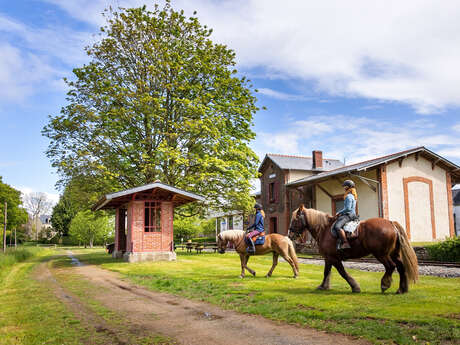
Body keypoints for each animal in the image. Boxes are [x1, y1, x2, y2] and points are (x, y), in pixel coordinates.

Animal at [290, 204, 418, 292]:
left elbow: (342, 273)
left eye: (295, 220)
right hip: (393, 253)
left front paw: (355, 286)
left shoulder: (334, 258)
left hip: (381, 254)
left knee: (391, 266)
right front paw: (323, 286)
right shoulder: (328, 258)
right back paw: (401, 289)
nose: (290, 234)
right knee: (401, 267)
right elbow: (326, 272)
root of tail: (391, 223)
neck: (324, 229)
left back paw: (385, 284)